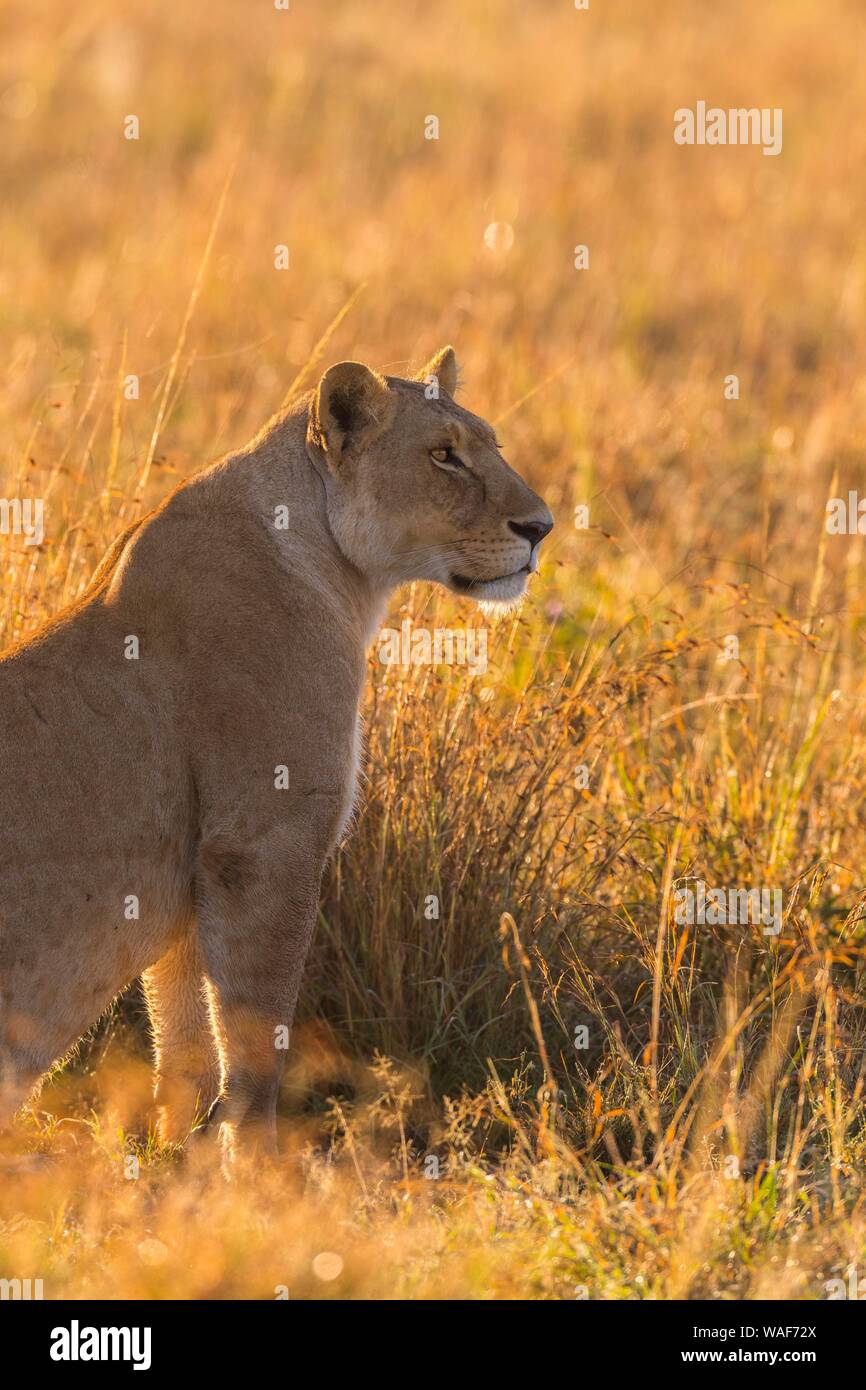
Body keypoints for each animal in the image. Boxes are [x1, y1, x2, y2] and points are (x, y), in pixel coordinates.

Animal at [0, 347, 553, 1163]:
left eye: (491, 446)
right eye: (444, 456)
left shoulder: (188, 869)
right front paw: (257, 1175)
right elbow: (258, 1047)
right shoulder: (265, 841)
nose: (542, 527)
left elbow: (185, 1044)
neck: (339, 574)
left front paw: (170, 1161)